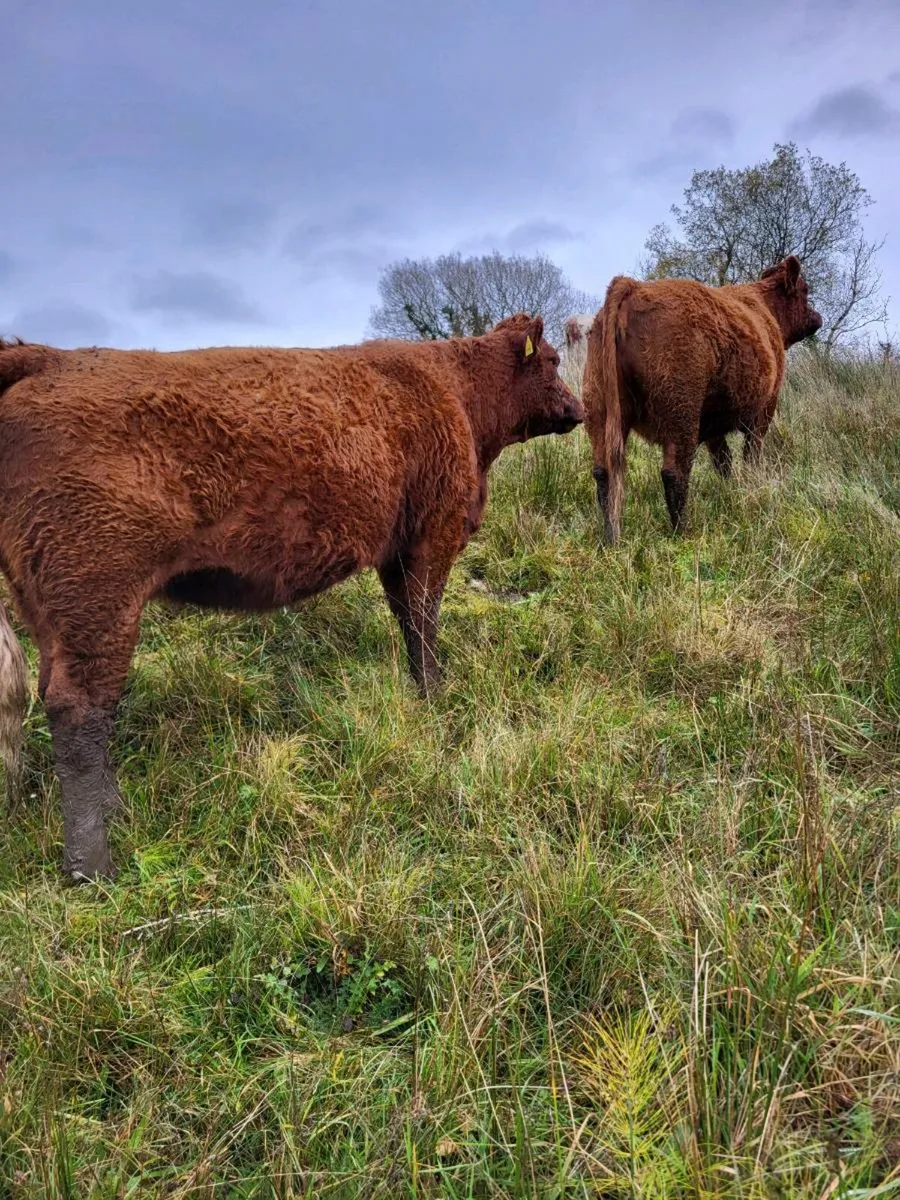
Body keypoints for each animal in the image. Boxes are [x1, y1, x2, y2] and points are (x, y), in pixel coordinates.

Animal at [0, 315, 582, 881]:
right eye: (554, 361)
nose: (578, 408)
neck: (455, 388)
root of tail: (48, 357)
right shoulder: (431, 537)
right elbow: (424, 620)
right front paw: (436, 695)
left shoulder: (396, 552)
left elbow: (407, 619)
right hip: (97, 599)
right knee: (78, 710)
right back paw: (93, 863)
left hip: (52, 612)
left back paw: (115, 810)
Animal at [583, 256, 822, 544]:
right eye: (805, 290)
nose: (817, 317)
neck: (766, 311)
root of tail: (633, 286)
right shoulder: (763, 411)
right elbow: (750, 456)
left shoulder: (713, 428)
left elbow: (724, 461)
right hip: (681, 414)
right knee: (674, 473)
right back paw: (682, 532)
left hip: (599, 410)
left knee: (603, 473)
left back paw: (609, 536)